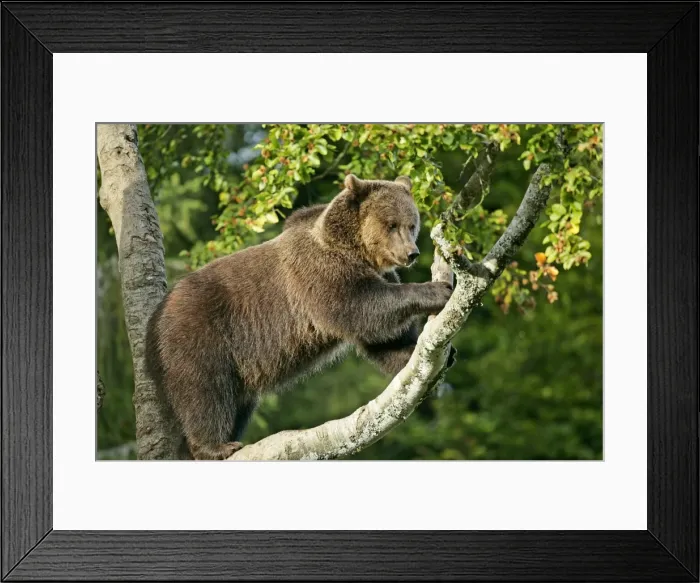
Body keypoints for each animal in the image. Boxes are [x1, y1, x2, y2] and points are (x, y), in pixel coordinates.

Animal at [144, 174, 454, 460]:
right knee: (204, 391)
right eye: (391, 224)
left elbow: (381, 338)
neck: (355, 251)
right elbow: (361, 307)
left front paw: (423, 352)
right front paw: (437, 290)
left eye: (411, 224)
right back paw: (216, 446)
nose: (411, 253)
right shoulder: (318, 273)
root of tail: (156, 315)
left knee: (237, 401)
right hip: (199, 333)